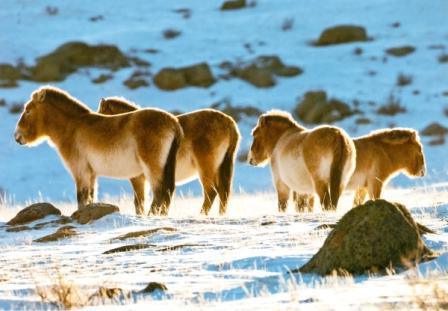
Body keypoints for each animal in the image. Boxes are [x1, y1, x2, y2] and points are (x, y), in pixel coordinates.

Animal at [14, 86, 182, 216]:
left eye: (28, 111)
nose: (17, 136)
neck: (71, 127)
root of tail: (174, 122)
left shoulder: (81, 172)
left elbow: (82, 199)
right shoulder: (92, 175)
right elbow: (90, 198)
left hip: (153, 169)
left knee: (160, 193)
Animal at [98, 97, 242, 217]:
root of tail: (229, 123)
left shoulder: (137, 178)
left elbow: (139, 202)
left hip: (206, 169)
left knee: (211, 193)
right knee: (223, 193)